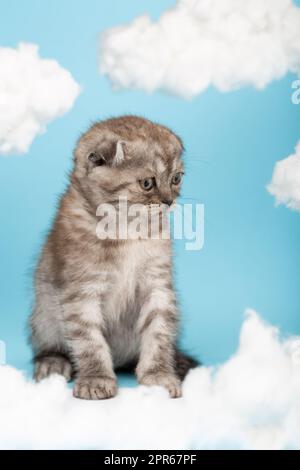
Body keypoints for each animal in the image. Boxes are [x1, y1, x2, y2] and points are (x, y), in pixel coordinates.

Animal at [29, 115, 198, 398]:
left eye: (176, 178)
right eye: (147, 183)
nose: (168, 201)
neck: (127, 230)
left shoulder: (157, 285)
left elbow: (159, 331)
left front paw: (159, 375)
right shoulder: (82, 291)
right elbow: (88, 339)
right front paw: (96, 379)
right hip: (43, 313)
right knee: (47, 344)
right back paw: (52, 362)